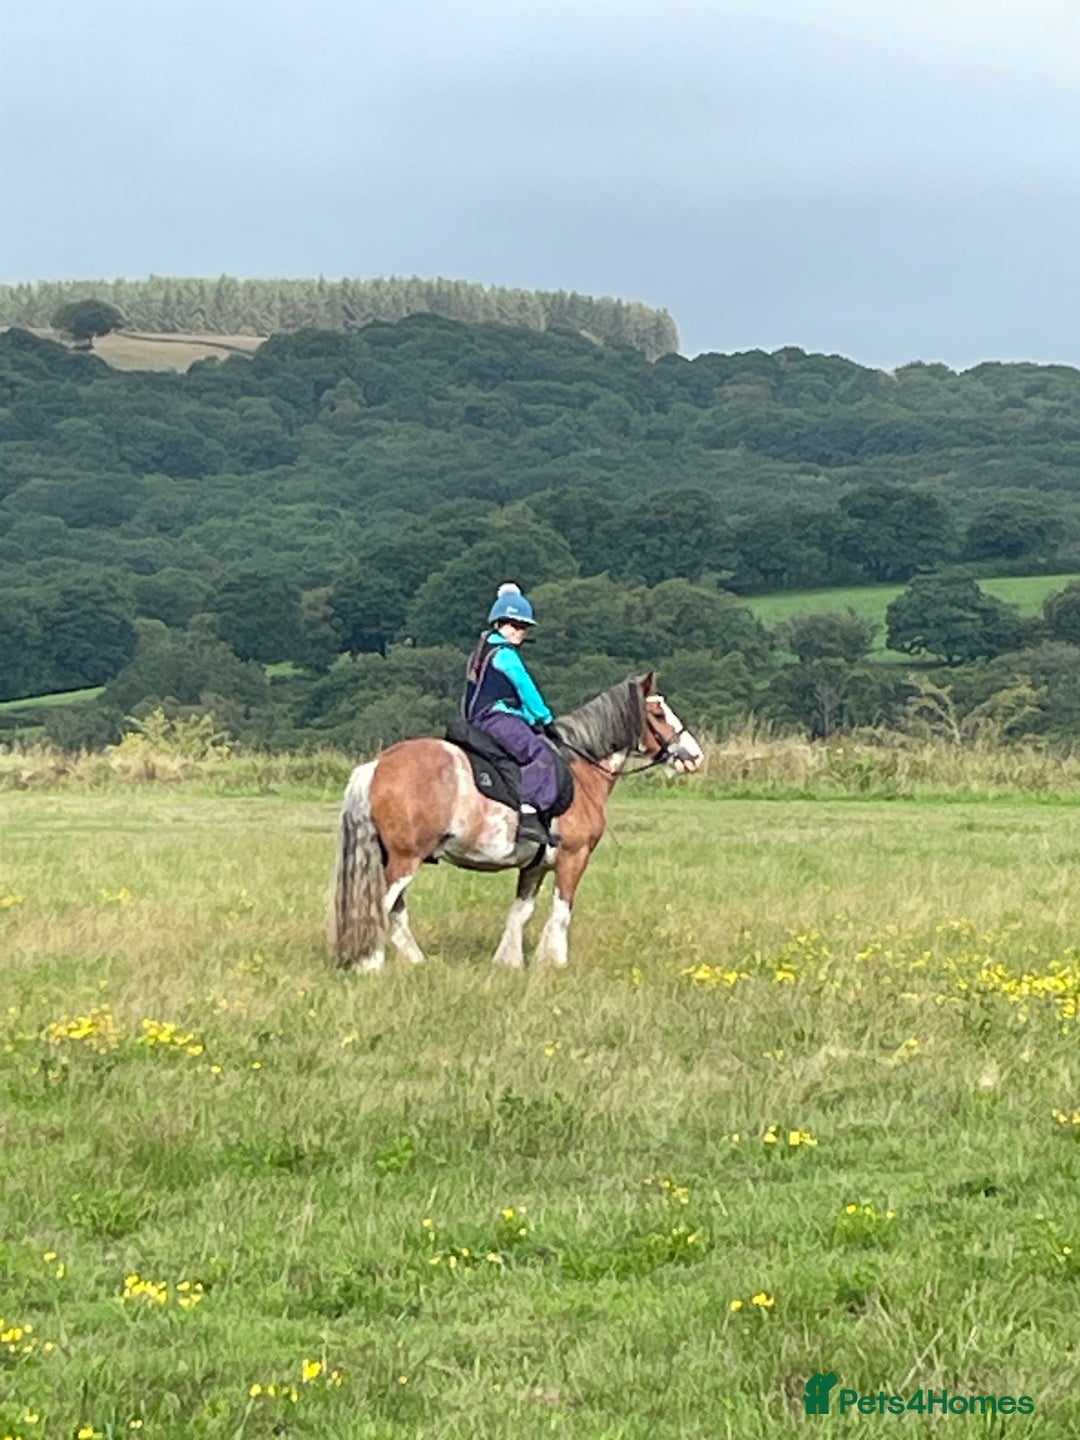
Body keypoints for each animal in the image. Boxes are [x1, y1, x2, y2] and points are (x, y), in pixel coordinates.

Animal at [331, 672, 704, 972]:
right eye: (658, 713)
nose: (695, 756)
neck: (579, 770)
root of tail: (378, 764)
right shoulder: (574, 857)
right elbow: (562, 910)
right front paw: (555, 963)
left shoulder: (534, 866)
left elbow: (520, 912)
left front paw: (509, 962)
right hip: (405, 859)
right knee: (381, 905)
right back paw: (370, 964)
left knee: (394, 910)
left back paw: (417, 961)